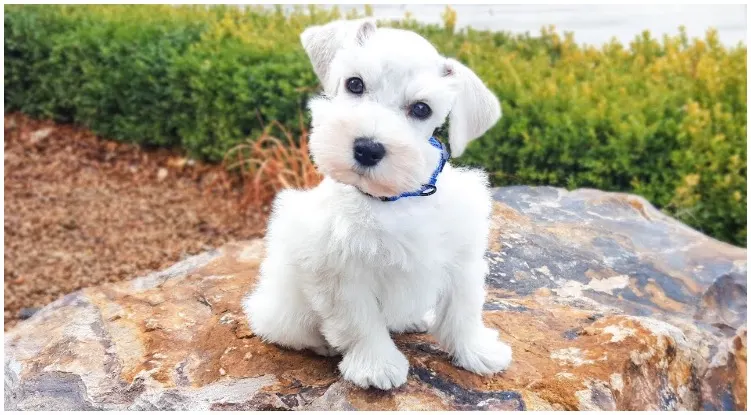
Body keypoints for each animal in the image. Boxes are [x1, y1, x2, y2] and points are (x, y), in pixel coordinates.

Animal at [244, 17, 516, 392]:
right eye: (354, 84)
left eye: (422, 108)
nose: (368, 149)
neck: (391, 199)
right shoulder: (342, 272)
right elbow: (361, 322)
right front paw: (376, 366)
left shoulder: (461, 260)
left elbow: (463, 311)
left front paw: (477, 352)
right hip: (284, 308)